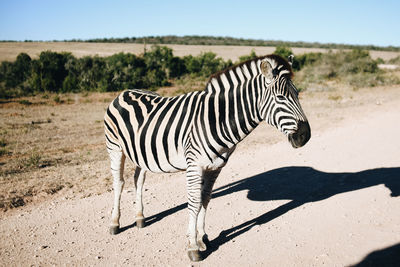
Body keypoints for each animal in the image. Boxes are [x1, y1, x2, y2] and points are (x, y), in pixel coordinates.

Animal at [104, 54, 312, 262]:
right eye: (280, 97)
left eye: (297, 94)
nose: (305, 136)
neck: (216, 120)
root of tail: (125, 91)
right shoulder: (194, 165)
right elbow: (194, 202)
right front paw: (193, 246)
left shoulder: (215, 167)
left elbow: (205, 199)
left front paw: (203, 237)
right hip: (115, 148)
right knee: (119, 183)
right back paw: (115, 223)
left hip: (141, 152)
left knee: (138, 180)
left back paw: (140, 217)